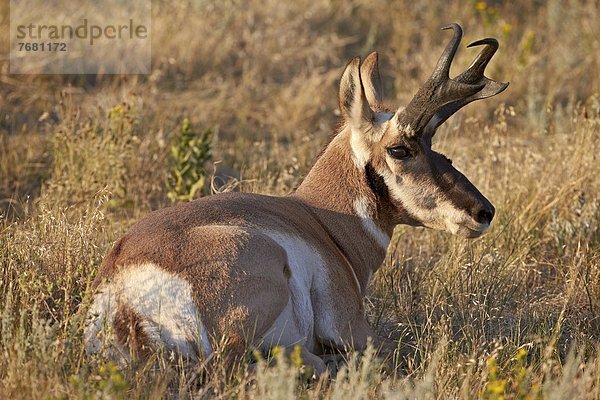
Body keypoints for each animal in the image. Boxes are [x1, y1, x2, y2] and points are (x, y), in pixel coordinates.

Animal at [84, 24, 506, 376]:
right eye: (400, 149)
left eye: (433, 142)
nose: (483, 212)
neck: (322, 221)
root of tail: (122, 291)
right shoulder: (352, 326)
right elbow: (406, 347)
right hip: (263, 264)